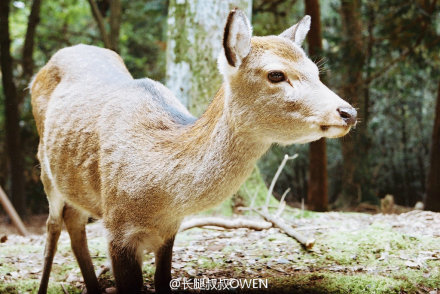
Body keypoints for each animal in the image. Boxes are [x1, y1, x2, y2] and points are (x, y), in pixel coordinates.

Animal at [31, 9, 358, 294]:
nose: (348, 112)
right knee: (53, 226)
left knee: (74, 221)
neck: (159, 196)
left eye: (316, 71)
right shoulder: (116, 228)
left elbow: (163, 281)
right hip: (45, 167)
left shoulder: (169, 230)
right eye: (276, 74)